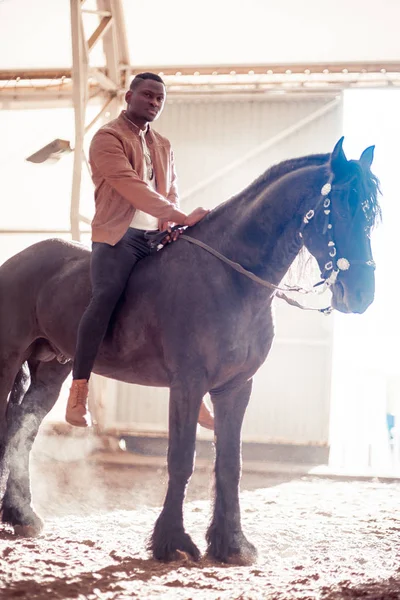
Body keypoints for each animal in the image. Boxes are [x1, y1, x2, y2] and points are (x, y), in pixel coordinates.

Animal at [0, 138, 382, 564]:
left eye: (371, 216)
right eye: (342, 208)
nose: (362, 295)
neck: (230, 278)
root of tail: (16, 261)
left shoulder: (236, 387)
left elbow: (230, 463)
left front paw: (232, 543)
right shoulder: (187, 384)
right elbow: (181, 460)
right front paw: (173, 542)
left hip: (52, 368)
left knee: (22, 430)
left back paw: (22, 515)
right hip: (7, 358)